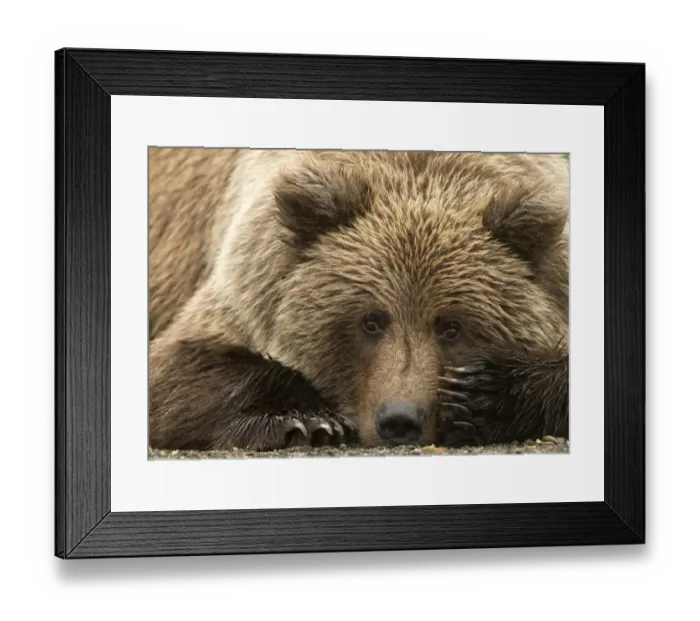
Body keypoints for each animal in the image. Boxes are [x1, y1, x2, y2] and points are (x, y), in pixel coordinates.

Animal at [147, 147, 570, 452]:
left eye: (451, 326)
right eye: (371, 320)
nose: (400, 419)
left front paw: (480, 392)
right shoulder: (245, 280)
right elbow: (175, 369)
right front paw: (306, 420)